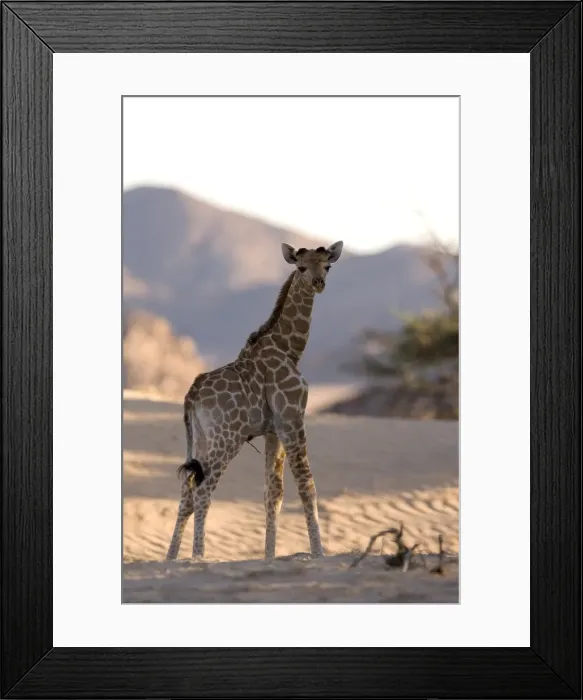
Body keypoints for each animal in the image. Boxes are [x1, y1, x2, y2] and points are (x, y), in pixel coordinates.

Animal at [165, 240, 344, 561]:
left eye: (327, 265)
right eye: (301, 267)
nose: (318, 283)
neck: (290, 348)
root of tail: (191, 395)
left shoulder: (272, 430)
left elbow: (273, 493)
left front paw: (269, 556)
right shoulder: (292, 419)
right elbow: (306, 485)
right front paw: (319, 552)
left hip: (201, 437)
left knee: (187, 491)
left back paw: (171, 558)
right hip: (227, 437)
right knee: (202, 490)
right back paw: (199, 556)